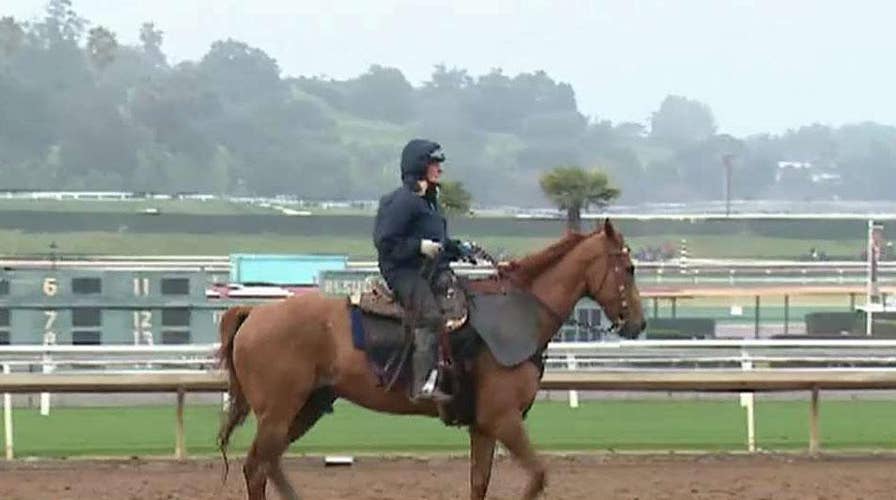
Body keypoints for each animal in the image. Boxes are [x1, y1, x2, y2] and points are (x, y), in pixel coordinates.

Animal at [215, 221, 644, 500]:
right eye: (628, 268)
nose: (638, 324)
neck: (515, 313)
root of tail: (254, 314)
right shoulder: (503, 420)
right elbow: (537, 476)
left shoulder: (483, 427)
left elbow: (479, 483)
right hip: (279, 411)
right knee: (256, 468)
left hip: (308, 407)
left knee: (268, 464)